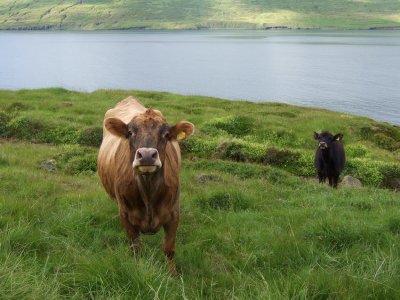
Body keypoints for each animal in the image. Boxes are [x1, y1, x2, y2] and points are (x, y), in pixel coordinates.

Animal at [98, 96, 195, 274]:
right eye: (130, 133)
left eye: (166, 134)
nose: (147, 155)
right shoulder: (126, 215)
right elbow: (135, 248)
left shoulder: (174, 213)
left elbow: (169, 249)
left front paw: (172, 276)